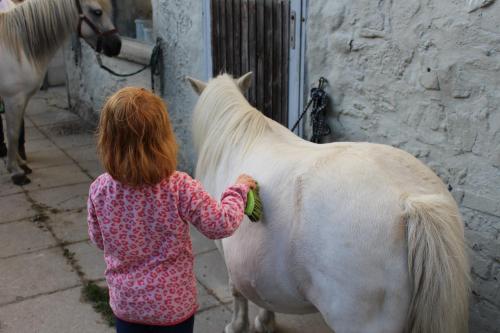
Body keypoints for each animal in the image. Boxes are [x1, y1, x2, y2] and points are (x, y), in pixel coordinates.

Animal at [0, 0, 121, 184]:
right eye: (97, 12)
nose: (116, 45)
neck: (19, 46)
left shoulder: (22, 100)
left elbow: (17, 130)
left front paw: (20, 164)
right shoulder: (13, 99)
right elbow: (12, 133)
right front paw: (15, 171)